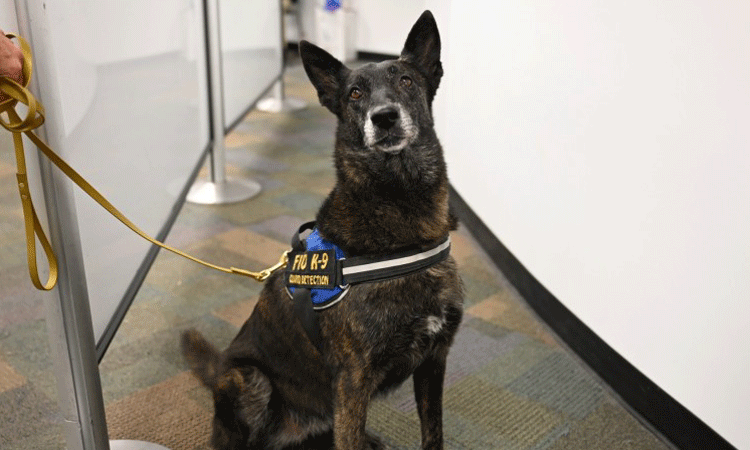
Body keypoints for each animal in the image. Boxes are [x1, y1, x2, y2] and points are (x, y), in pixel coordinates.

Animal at [183, 11, 464, 450]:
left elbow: (433, 433)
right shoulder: (353, 381)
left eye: (406, 81)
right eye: (354, 94)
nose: (384, 117)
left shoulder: (434, 360)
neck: (401, 209)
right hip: (249, 378)